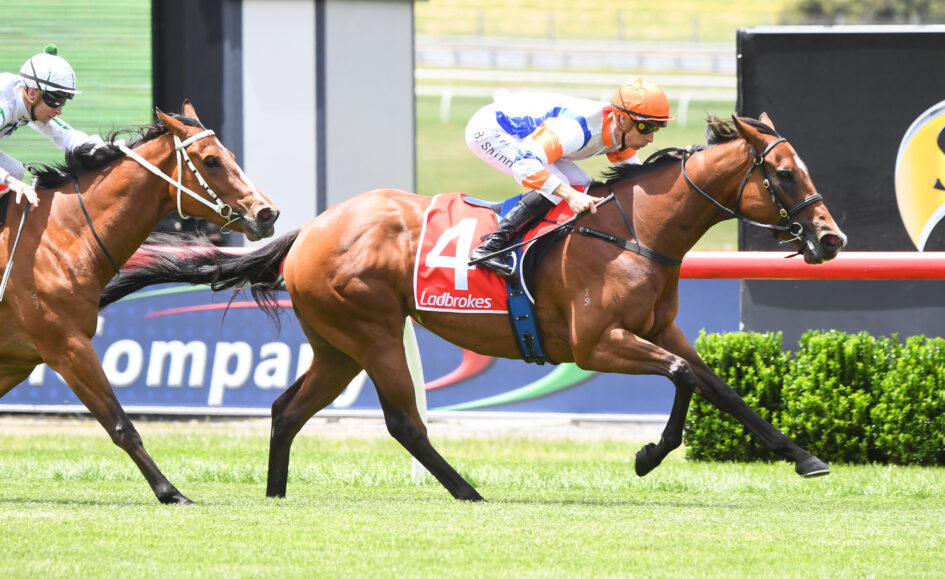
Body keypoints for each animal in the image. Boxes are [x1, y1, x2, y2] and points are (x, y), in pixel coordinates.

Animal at [0, 101, 279, 504]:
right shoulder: (67, 346)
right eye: (211, 160)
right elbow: (121, 425)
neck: (57, 237)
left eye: (231, 156)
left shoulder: (18, 359)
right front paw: (170, 492)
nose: (266, 213)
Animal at [99, 114, 846, 502]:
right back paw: (466, 491)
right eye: (784, 174)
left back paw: (277, 493)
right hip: (372, 332)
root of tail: (310, 228)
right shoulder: (597, 343)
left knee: (287, 409)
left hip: (337, 344)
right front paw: (646, 455)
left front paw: (803, 456)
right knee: (403, 422)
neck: (634, 231)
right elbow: (684, 378)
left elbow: (719, 385)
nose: (831, 239)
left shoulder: (661, 328)